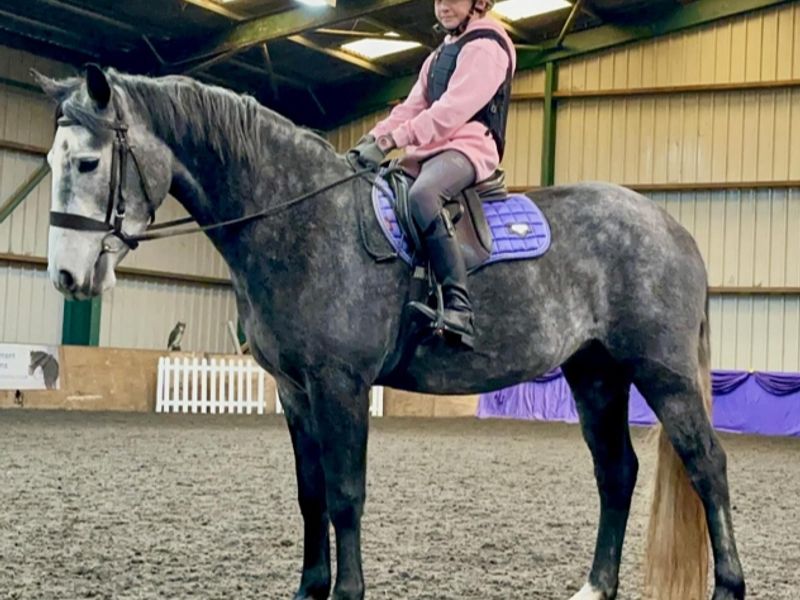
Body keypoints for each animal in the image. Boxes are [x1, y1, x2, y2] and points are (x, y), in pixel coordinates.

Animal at [33, 65, 744, 600]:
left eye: (90, 162)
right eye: (51, 161)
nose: (67, 276)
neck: (301, 220)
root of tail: (670, 226)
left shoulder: (339, 384)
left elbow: (347, 494)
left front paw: (347, 593)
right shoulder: (295, 391)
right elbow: (311, 493)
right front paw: (310, 589)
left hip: (661, 372)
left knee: (706, 464)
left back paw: (727, 586)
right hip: (595, 374)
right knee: (616, 472)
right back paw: (596, 587)